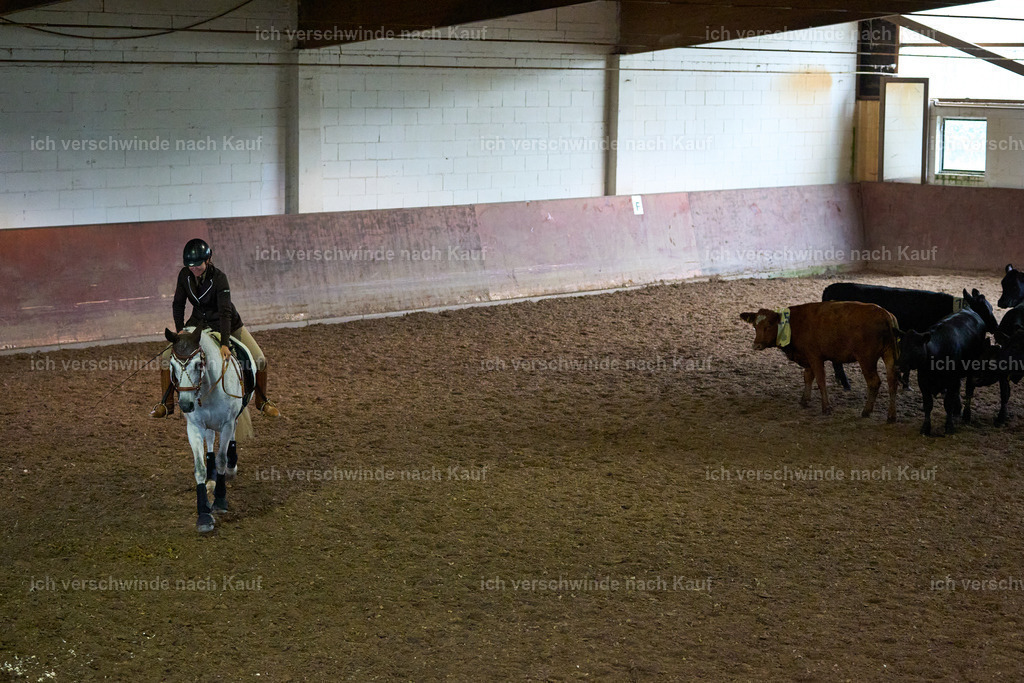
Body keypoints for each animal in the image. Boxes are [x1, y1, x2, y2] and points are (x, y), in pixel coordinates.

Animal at [164, 327, 252, 532]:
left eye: (198, 364)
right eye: (172, 364)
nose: (186, 404)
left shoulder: (227, 423)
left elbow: (221, 460)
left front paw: (219, 500)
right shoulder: (194, 427)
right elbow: (199, 468)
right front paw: (203, 514)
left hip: (234, 416)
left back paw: (231, 467)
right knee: (211, 439)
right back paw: (212, 478)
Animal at [741, 303, 901, 421]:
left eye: (769, 325)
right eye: (755, 326)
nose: (756, 345)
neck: (793, 324)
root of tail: (886, 315)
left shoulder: (815, 357)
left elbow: (820, 380)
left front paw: (826, 407)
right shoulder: (807, 358)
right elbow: (807, 377)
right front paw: (804, 400)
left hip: (866, 359)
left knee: (874, 382)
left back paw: (866, 411)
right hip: (890, 354)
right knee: (892, 381)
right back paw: (891, 416)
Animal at [897, 290, 991, 436]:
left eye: (914, 348)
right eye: (900, 346)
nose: (900, 365)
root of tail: (969, 310)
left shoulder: (952, 381)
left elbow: (948, 404)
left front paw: (949, 427)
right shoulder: (923, 382)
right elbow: (928, 405)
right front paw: (926, 427)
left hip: (973, 367)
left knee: (969, 389)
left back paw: (966, 415)